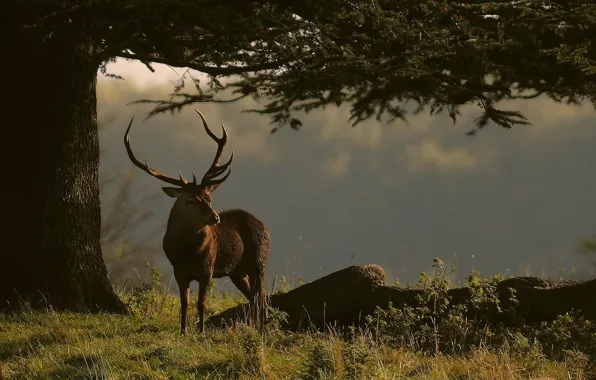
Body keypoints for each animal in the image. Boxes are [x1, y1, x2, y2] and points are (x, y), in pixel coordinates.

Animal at [124, 108, 272, 334]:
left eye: (209, 198)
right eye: (191, 200)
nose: (215, 217)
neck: (187, 252)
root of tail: (264, 225)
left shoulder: (207, 269)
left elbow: (202, 302)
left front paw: (201, 331)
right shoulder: (178, 270)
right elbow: (184, 302)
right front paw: (183, 330)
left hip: (259, 261)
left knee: (261, 297)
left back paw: (263, 328)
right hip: (237, 271)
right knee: (254, 297)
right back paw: (257, 327)